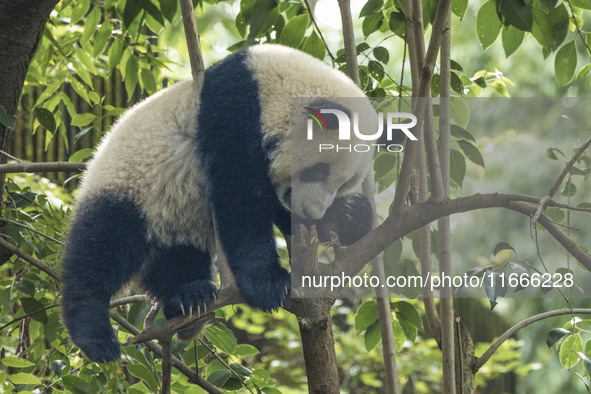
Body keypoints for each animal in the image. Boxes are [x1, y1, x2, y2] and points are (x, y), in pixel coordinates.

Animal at [61, 43, 394, 364]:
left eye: (343, 184)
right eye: (319, 171)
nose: (310, 211)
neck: (270, 84)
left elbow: (272, 204)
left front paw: (348, 216)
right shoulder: (233, 109)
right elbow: (240, 197)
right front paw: (268, 284)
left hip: (176, 217)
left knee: (177, 258)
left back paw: (188, 299)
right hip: (132, 183)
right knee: (101, 246)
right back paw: (95, 335)